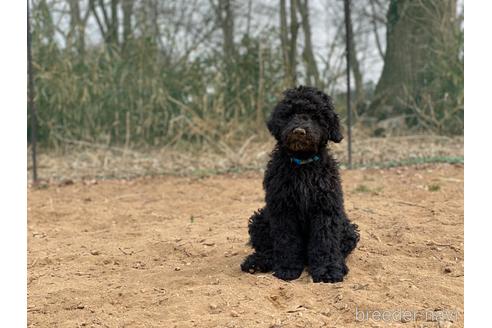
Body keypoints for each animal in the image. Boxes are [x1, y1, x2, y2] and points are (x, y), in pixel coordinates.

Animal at [241, 86, 360, 284]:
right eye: (290, 114)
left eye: (315, 116)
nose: (299, 131)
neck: (303, 165)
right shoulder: (283, 210)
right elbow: (287, 241)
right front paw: (287, 268)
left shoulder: (325, 209)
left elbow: (325, 241)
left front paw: (328, 270)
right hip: (261, 219)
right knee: (268, 249)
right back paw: (256, 262)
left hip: (347, 227)